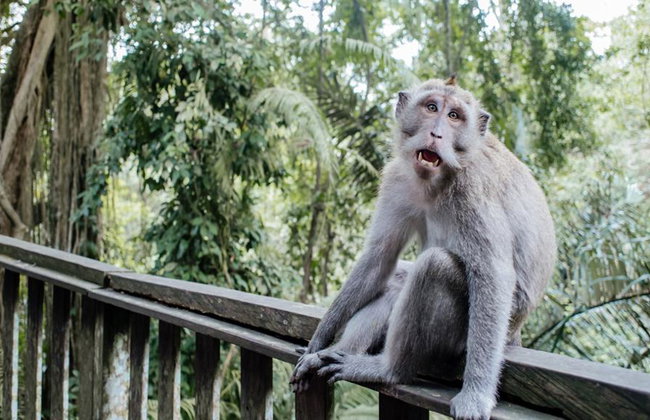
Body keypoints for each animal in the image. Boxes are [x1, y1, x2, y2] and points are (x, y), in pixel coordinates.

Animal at [289, 77, 556, 420]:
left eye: (455, 116)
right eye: (431, 107)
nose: (437, 133)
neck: (436, 180)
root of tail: (516, 333)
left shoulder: (474, 189)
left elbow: (493, 274)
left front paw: (476, 395)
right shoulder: (397, 179)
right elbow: (380, 258)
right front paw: (317, 342)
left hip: (464, 337)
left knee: (434, 266)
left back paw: (388, 370)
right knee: (396, 278)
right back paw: (337, 352)